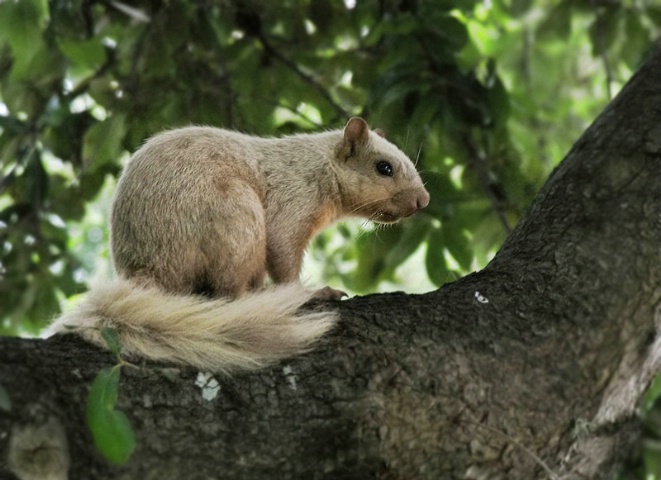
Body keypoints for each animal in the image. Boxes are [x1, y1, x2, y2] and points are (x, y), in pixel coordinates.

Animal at [45, 117, 428, 376]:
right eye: (384, 167)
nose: (423, 201)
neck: (318, 166)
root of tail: (148, 272)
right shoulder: (291, 204)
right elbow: (284, 255)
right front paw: (313, 292)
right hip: (236, 217)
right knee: (228, 291)